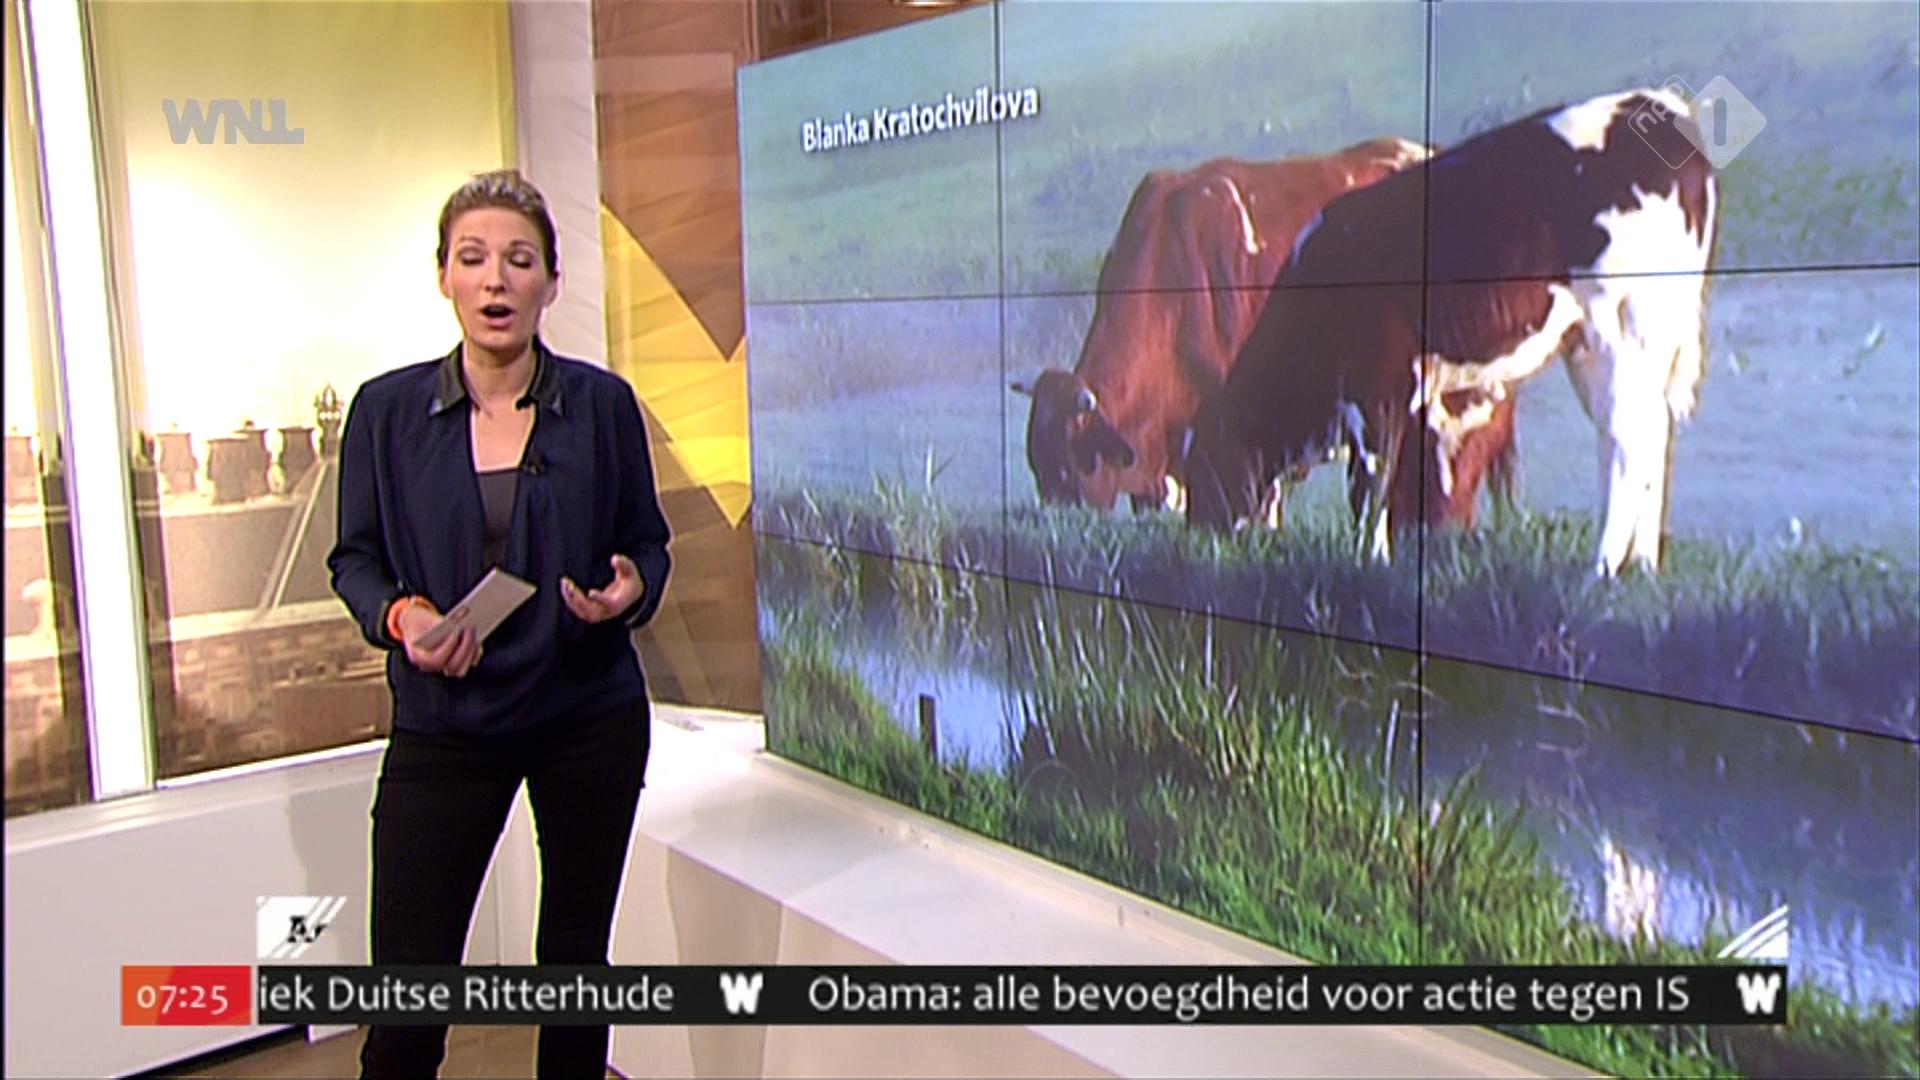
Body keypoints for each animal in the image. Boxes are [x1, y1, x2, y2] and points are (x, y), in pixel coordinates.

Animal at [1185, 88, 1717, 578]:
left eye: (1203, 475)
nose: (1197, 537)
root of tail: (1658, 105)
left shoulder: (1375, 383)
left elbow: (1369, 483)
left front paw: (1368, 562)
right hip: (1602, 340)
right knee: (1642, 431)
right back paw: (1641, 563)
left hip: (1624, 321)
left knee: (1629, 436)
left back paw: (1602, 569)